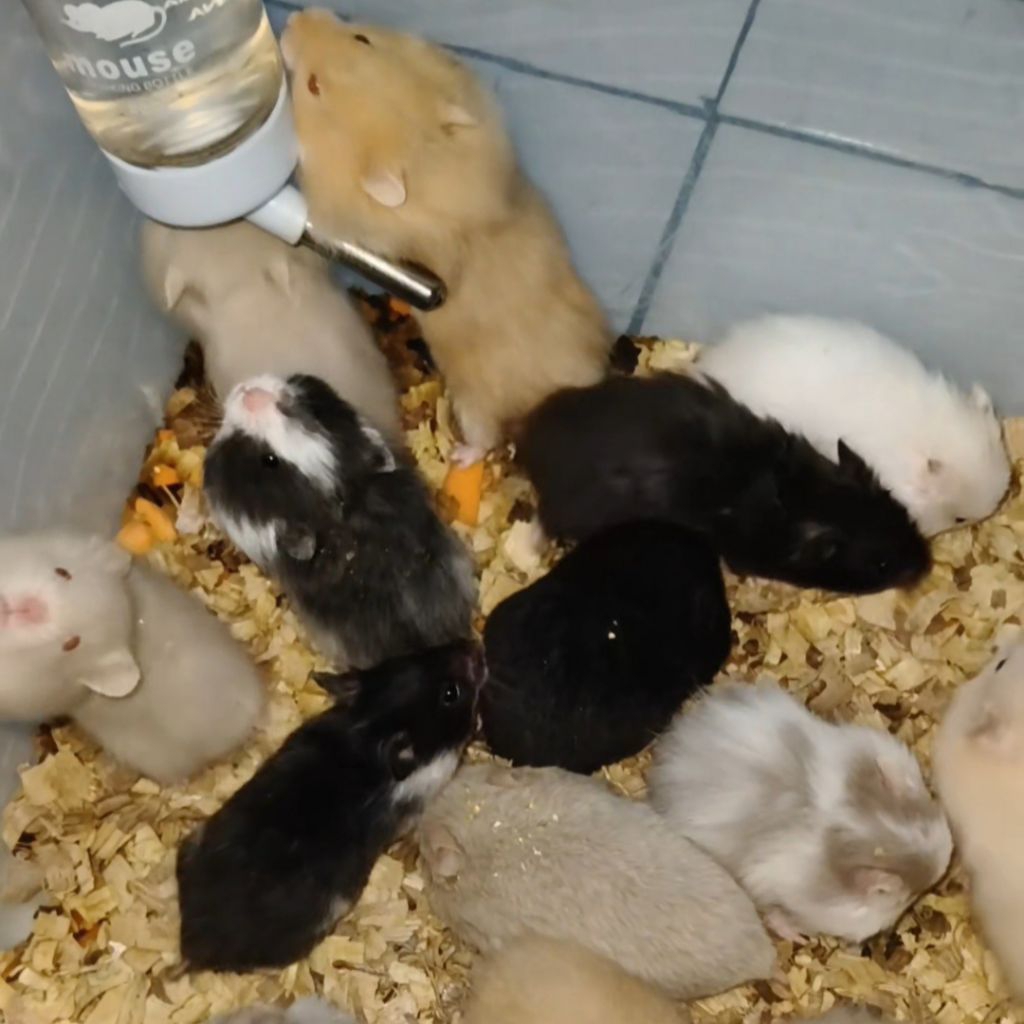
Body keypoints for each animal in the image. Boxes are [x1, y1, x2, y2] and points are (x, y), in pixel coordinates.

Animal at [281, 12, 612, 461]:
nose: (295, 17)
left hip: (474, 402)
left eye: (313, 86)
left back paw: (459, 456)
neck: (426, 160)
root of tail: (557, 393)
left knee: (486, 438)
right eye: (363, 37)